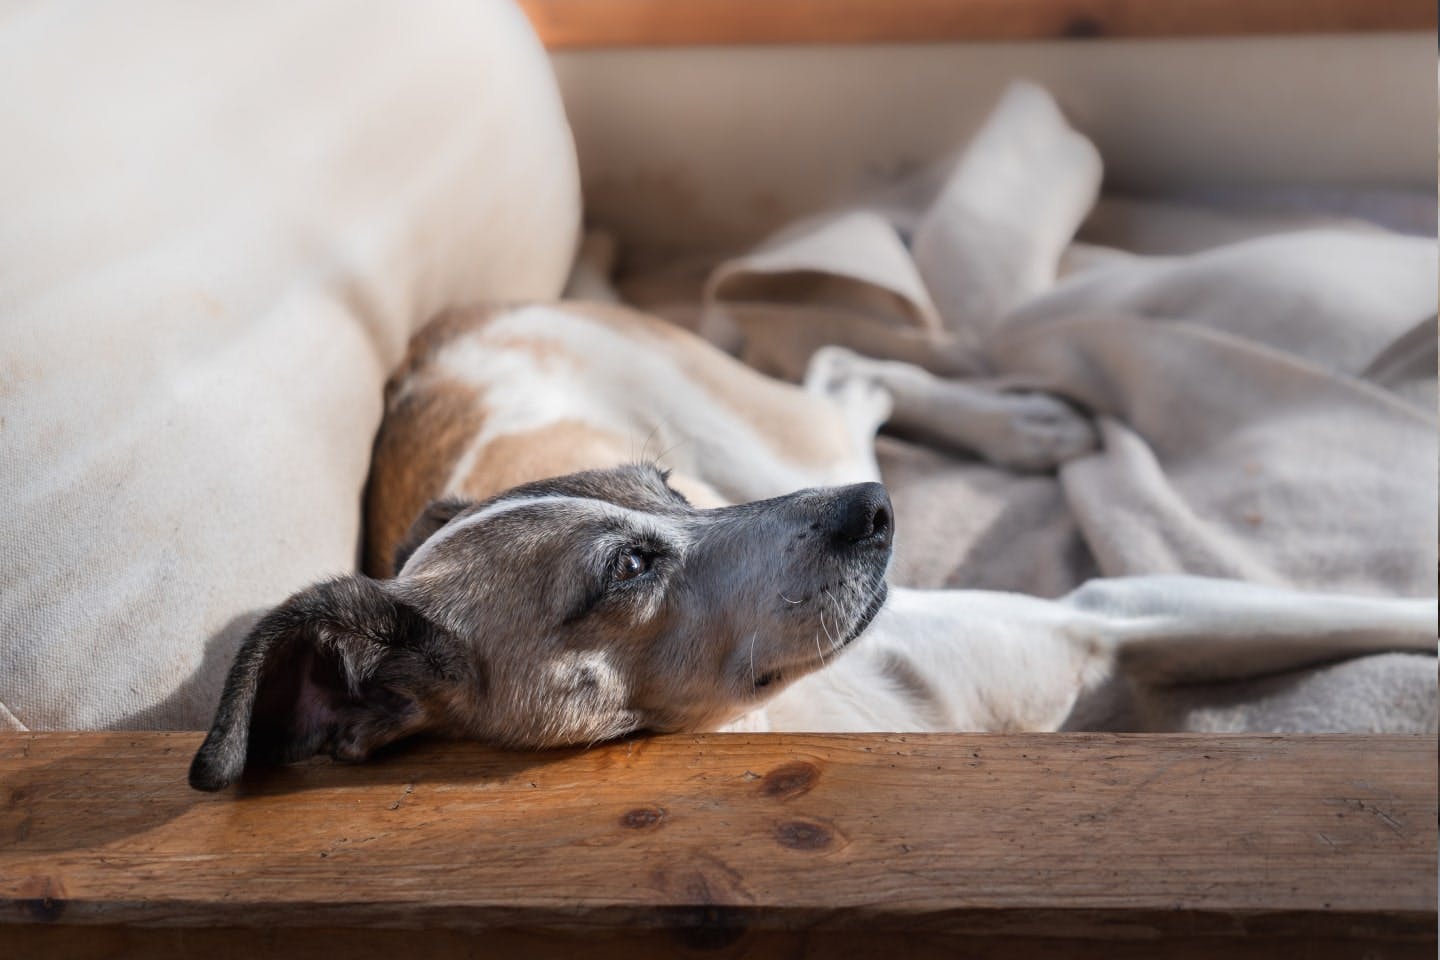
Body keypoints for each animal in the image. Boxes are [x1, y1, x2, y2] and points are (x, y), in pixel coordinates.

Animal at [188, 303, 1428, 794]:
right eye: (628, 567)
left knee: (848, 372)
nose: (876, 514)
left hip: (780, 432)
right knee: (846, 377)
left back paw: (1023, 424)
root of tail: (448, 327)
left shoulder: (1109, 609)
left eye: (669, 491)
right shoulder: (1109, 613)